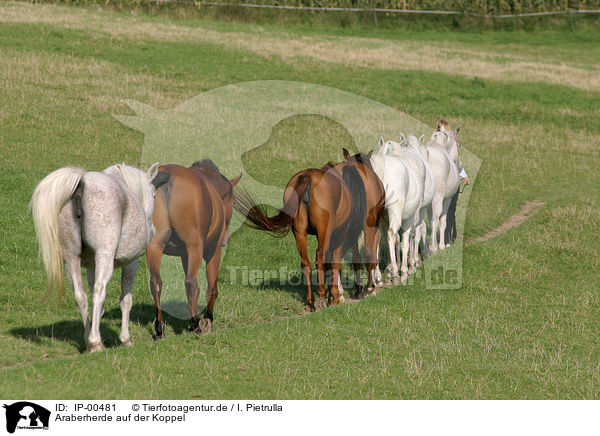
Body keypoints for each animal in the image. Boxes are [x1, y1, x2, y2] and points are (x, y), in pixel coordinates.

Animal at [31, 163, 169, 350]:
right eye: (154, 194)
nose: (153, 230)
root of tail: (81, 185)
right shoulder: (131, 263)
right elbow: (125, 300)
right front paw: (125, 339)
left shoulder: (90, 267)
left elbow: (97, 305)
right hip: (105, 257)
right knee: (98, 291)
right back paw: (95, 343)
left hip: (71, 259)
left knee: (80, 296)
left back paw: (89, 341)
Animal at [146, 160, 240, 338]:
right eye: (232, 203)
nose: (227, 238)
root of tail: (169, 178)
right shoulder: (213, 252)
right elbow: (212, 288)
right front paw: (207, 319)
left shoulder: (185, 255)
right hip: (195, 248)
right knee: (191, 283)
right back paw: (196, 323)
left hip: (154, 247)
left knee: (156, 284)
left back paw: (160, 328)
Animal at [370, 138, 422, 284]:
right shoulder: (408, 219)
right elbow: (404, 242)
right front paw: (403, 271)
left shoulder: (384, 221)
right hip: (396, 213)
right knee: (391, 234)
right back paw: (394, 271)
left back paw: (378, 277)